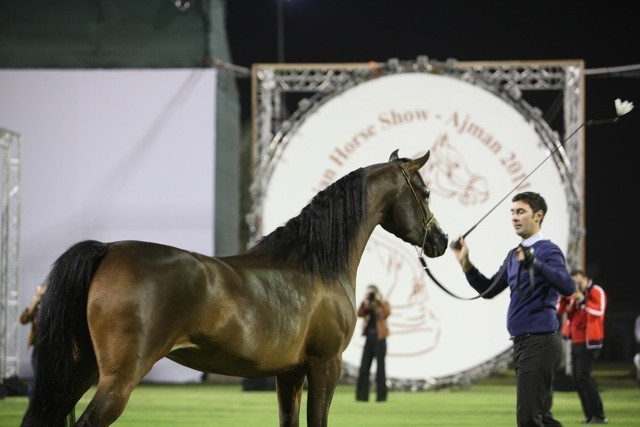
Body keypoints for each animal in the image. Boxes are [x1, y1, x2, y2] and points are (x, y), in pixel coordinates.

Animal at [22, 149, 448, 427]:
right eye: (426, 192)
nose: (441, 240)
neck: (315, 265)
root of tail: (107, 250)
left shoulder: (289, 375)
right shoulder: (325, 365)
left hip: (78, 370)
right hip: (117, 380)